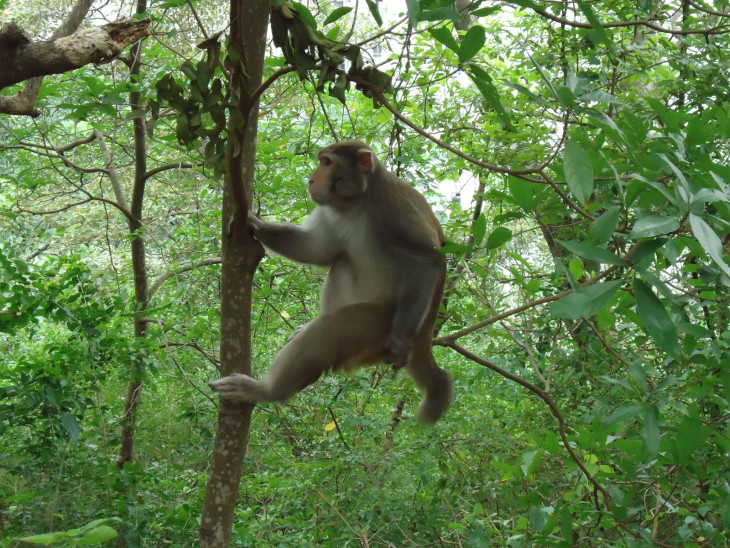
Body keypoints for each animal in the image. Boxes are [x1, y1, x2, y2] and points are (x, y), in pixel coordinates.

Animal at [208, 140, 452, 424]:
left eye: (327, 163)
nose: (312, 179)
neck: (358, 201)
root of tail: (424, 339)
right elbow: (317, 250)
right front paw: (253, 223)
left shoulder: (395, 212)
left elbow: (427, 262)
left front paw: (401, 341)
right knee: (342, 261)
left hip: (379, 325)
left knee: (330, 330)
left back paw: (266, 390)